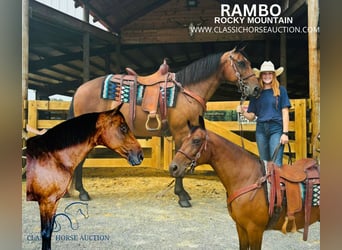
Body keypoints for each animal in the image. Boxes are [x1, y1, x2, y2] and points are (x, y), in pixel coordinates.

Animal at [25, 104, 143, 250]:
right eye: (123, 128)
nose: (140, 155)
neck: (51, 157)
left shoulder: (53, 202)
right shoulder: (46, 202)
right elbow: (46, 233)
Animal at [71, 46, 260, 206]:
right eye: (241, 63)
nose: (256, 89)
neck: (187, 92)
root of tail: (80, 89)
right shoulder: (181, 132)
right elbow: (179, 162)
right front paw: (182, 196)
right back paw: (82, 192)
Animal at [168, 116, 320, 249]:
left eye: (196, 140)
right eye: (185, 140)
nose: (173, 167)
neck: (247, 179)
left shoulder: (255, 230)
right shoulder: (241, 227)